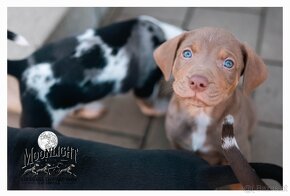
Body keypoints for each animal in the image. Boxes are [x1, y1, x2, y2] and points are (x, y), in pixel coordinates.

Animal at [7, 16, 182, 128]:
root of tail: (22, 65)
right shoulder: (145, 87)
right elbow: (149, 103)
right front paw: (161, 109)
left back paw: (94, 110)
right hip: (39, 119)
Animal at [153, 27, 268, 165]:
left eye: (228, 63)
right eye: (187, 53)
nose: (197, 82)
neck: (200, 114)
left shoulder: (237, 154)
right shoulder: (175, 143)